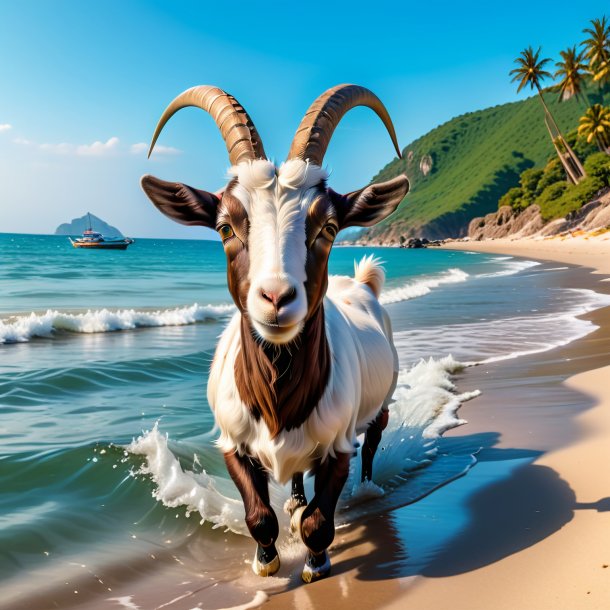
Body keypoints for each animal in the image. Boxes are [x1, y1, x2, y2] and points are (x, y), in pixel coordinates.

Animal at [140, 83, 406, 580]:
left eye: (329, 226)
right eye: (225, 227)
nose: (277, 298)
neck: (279, 401)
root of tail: (362, 283)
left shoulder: (338, 444)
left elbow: (322, 518)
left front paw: (316, 562)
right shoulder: (232, 442)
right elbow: (259, 516)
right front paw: (267, 559)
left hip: (381, 403)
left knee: (373, 445)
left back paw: (366, 489)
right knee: (297, 475)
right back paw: (296, 500)